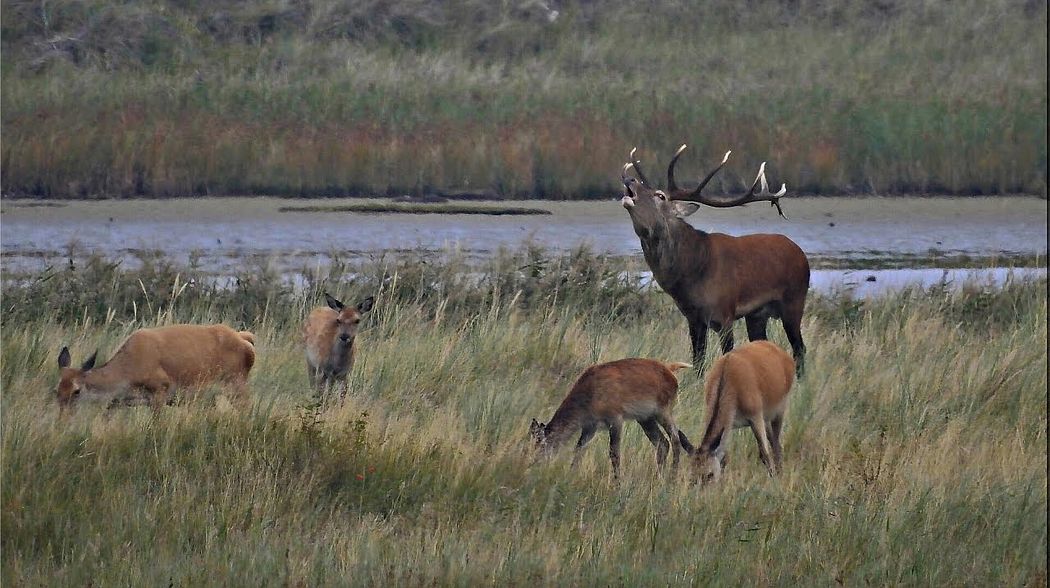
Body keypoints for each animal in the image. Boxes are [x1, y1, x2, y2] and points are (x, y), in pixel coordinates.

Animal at [53, 323, 256, 411]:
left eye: (77, 390)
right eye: (56, 390)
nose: (63, 419)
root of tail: (245, 339)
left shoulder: (159, 390)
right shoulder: (119, 403)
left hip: (237, 386)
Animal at [529, 359, 692, 478]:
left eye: (541, 444)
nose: (533, 463)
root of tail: (670, 370)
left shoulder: (615, 418)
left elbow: (614, 453)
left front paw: (617, 482)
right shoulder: (590, 426)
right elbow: (579, 449)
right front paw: (571, 473)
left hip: (663, 411)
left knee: (675, 439)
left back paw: (672, 477)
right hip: (645, 418)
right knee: (662, 443)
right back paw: (659, 476)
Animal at [617, 144, 806, 373]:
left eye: (660, 196)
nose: (630, 179)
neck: (692, 274)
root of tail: (800, 252)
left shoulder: (725, 313)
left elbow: (726, 355)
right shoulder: (693, 318)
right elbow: (698, 361)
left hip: (794, 301)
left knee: (799, 348)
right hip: (757, 314)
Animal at [676, 340, 789, 482]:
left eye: (710, 474)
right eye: (691, 476)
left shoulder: (755, 416)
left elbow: (764, 453)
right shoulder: (730, 424)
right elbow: (724, 457)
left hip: (779, 411)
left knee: (776, 443)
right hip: (766, 419)